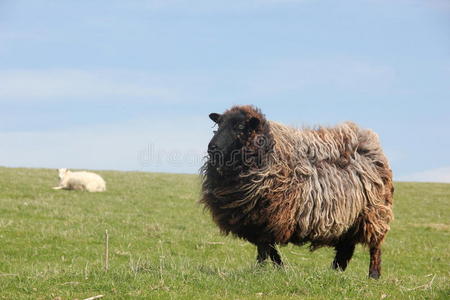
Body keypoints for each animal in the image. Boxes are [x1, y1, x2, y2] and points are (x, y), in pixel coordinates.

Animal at [200, 105, 394, 278]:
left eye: (240, 127)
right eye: (219, 124)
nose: (212, 147)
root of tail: (370, 143)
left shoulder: (271, 217)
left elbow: (265, 248)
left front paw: (263, 270)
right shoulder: (258, 220)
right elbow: (269, 248)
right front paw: (278, 268)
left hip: (374, 213)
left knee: (375, 246)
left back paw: (373, 275)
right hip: (350, 218)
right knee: (346, 247)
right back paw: (334, 272)